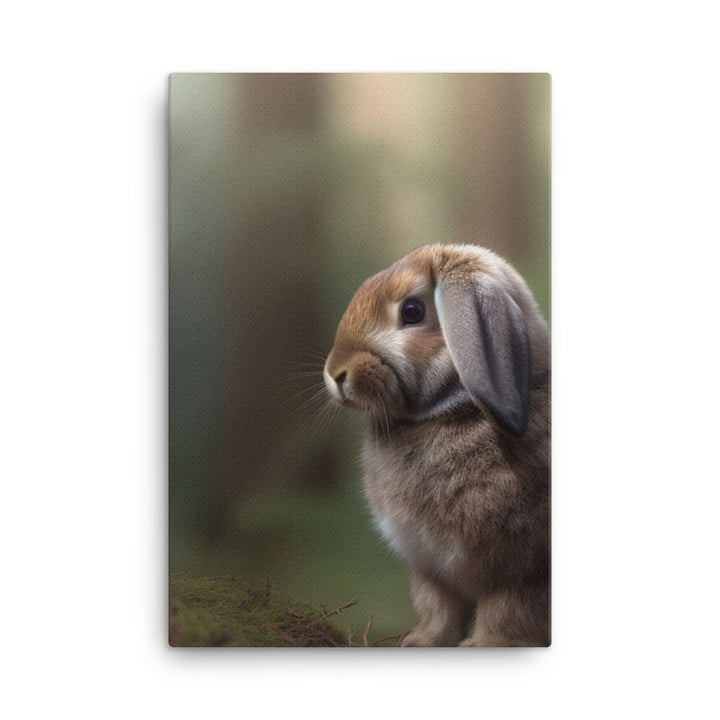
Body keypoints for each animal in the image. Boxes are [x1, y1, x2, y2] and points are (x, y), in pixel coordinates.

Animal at [323, 244, 550, 647]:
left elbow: (507, 611)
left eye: (412, 311)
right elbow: (437, 608)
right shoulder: (432, 570)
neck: (450, 411)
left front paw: (484, 646)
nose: (335, 374)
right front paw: (420, 642)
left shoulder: (522, 574)